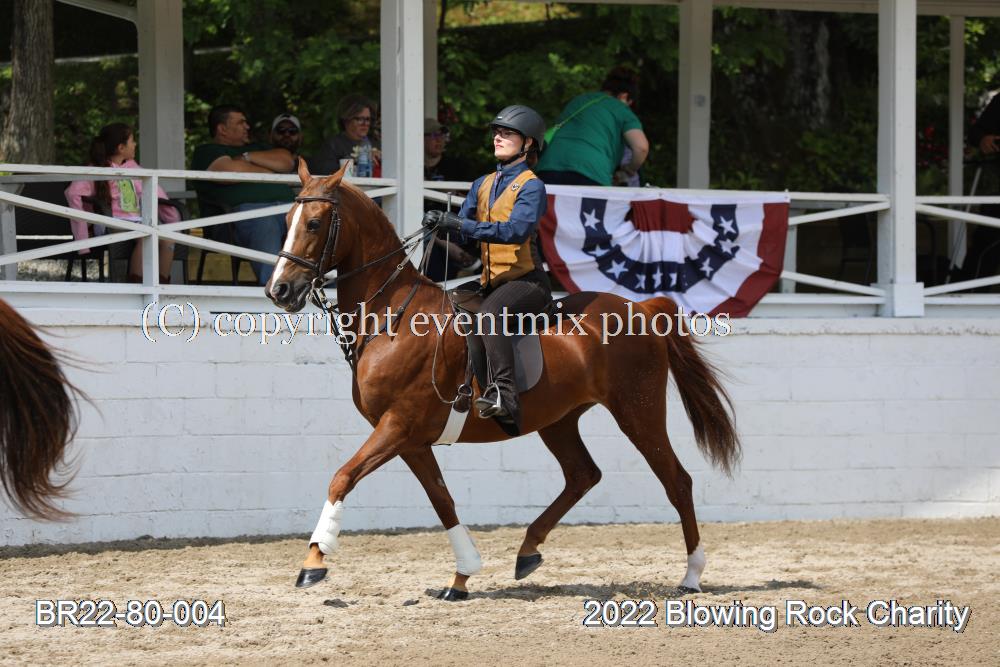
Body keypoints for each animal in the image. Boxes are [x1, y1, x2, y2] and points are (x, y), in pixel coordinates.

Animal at [266, 160, 740, 599]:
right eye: (286, 221)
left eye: (313, 223)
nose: (279, 290)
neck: (392, 315)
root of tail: (641, 308)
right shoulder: (411, 439)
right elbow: (443, 501)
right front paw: (462, 576)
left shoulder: (397, 426)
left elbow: (342, 477)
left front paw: (314, 560)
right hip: (559, 420)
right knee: (583, 475)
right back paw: (528, 550)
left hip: (638, 412)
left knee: (677, 481)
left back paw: (691, 575)